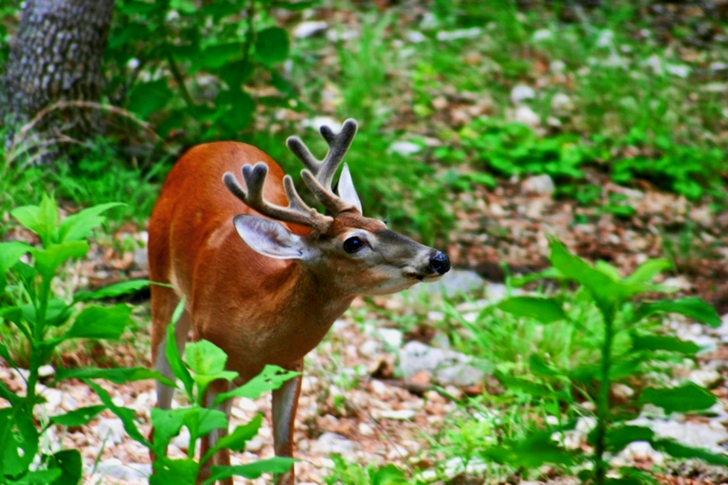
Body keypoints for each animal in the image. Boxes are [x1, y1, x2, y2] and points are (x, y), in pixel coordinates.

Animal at [148, 119, 450, 484]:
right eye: (353, 242)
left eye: (383, 223)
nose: (439, 258)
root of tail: (208, 145)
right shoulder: (212, 364)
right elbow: (213, 463)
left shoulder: (292, 366)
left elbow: (283, 461)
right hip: (161, 283)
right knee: (160, 416)